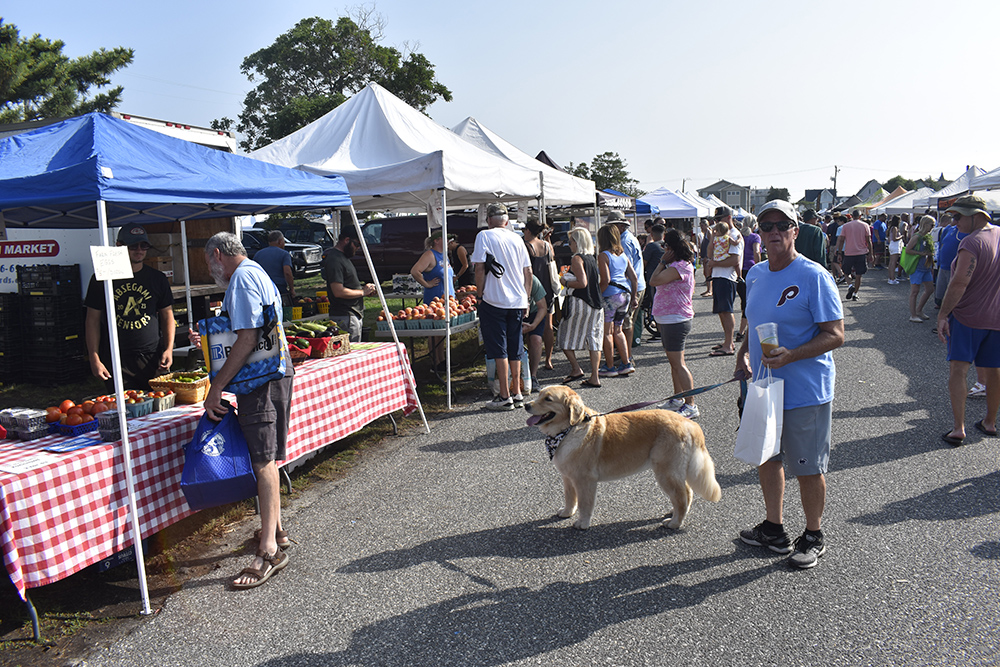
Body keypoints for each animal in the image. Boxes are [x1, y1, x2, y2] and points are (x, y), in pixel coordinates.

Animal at [524, 386, 720, 532]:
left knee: (682, 497)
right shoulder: (567, 477)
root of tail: (690, 423)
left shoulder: (585, 480)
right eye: (539, 394)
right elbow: (570, 498)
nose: (526, 405)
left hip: (665, 472)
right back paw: (674, 514)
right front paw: (566, 512)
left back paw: (674, 523)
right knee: (686, 493)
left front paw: (583, 523)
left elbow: (585, 504)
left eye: (548, 399)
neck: (569, 429)